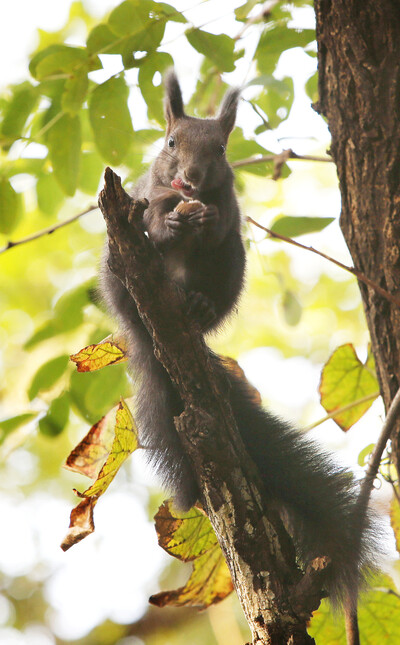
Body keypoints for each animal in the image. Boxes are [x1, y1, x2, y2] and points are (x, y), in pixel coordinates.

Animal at [99, 73, 376, 608]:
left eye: (221, 149)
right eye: (170, 143)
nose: (191, 178)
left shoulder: (228, 210)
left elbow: (219, 222)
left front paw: (203, 219)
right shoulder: (145, 198)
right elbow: (152, 220)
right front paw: (170, 221)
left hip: (232, 266)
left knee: (213, 288)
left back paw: (201, 307)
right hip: (118, 277)